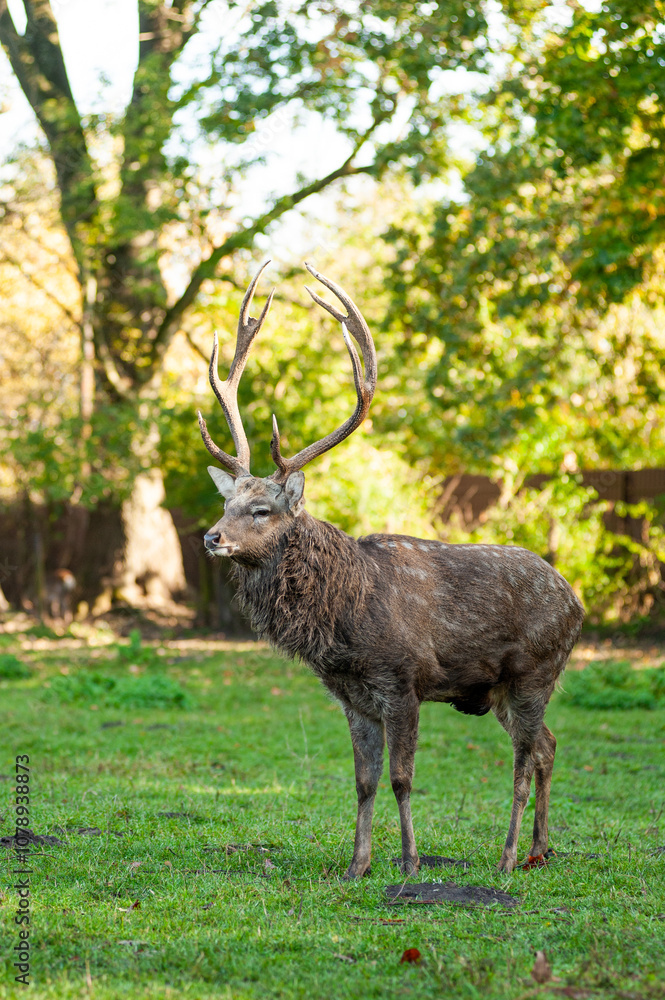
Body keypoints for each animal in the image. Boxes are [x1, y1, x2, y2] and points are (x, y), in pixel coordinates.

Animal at [198, 261, 585, 877]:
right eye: (227, 502)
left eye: (261, 510)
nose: (212, 537)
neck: (344, 622)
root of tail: (576, 602)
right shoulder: (352, 695)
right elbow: (363, 781)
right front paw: (357, 864)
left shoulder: (403, 680)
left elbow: (403, 779)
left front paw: (409, 861)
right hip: (503, 689)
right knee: (548, 744)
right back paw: (539, 850)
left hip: (536, 670)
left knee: (525, 760)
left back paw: (507, 856)